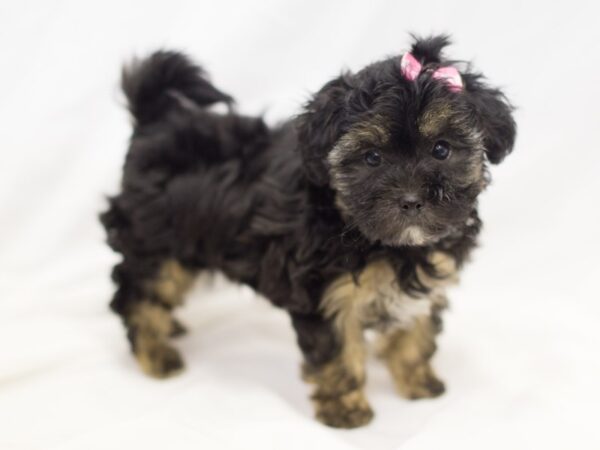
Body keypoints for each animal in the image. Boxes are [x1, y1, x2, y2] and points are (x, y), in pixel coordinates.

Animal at [99, 36, 516, 428]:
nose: (412, 200)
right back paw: (155, 352)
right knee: (137, 293)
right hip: (153, 239)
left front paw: (418, 382)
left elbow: (415, 332)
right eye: (372, 158)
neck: (377, 239)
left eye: (441, 149)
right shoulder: (326, 297)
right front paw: (346, 410)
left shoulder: (425, 282)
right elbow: (339, 356)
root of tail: (156, 122)